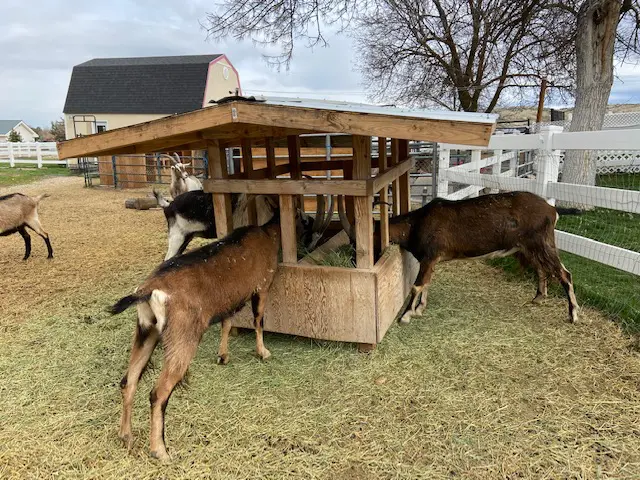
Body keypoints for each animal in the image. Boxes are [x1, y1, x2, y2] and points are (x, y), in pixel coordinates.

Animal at [109, 212, 281, 461]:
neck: (267, 233)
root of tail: (148, 291)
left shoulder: (227, 303)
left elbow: (227, 324)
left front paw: (223, 356)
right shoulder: (262, 286)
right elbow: (258, 321)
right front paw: (263, 352)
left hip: (146, 330)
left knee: (128, 381)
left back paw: (126, 436)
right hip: (182, 336)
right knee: (158, 393)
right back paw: (159, 450)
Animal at [340, 191, 578, 324]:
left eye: (359, 243)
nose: (354, 262)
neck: (416, 225)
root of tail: (552, 209)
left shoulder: (430, 255)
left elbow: (417, 285)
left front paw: (406, 316)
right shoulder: (431, 260)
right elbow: (427, 283)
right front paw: (420, 309)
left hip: (542, 242)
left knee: (564, 273)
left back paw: (573, 315)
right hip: (528, 246)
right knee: (541, 269)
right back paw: (538, 298)